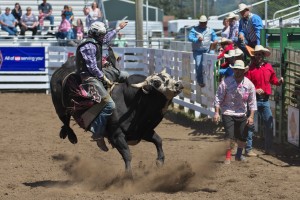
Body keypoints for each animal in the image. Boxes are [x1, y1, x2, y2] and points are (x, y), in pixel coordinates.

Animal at [49, 53, 183, 173]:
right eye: (156, 82)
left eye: (169, 76)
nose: (179, 84)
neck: (133, 104)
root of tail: (63, 68)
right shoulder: (116, 135)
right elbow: (127, 154)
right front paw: (128, 175)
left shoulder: (144, 131)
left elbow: (158, 140)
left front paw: (160, 161)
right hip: (60, 108)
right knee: (65, 120)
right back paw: (72, 137)